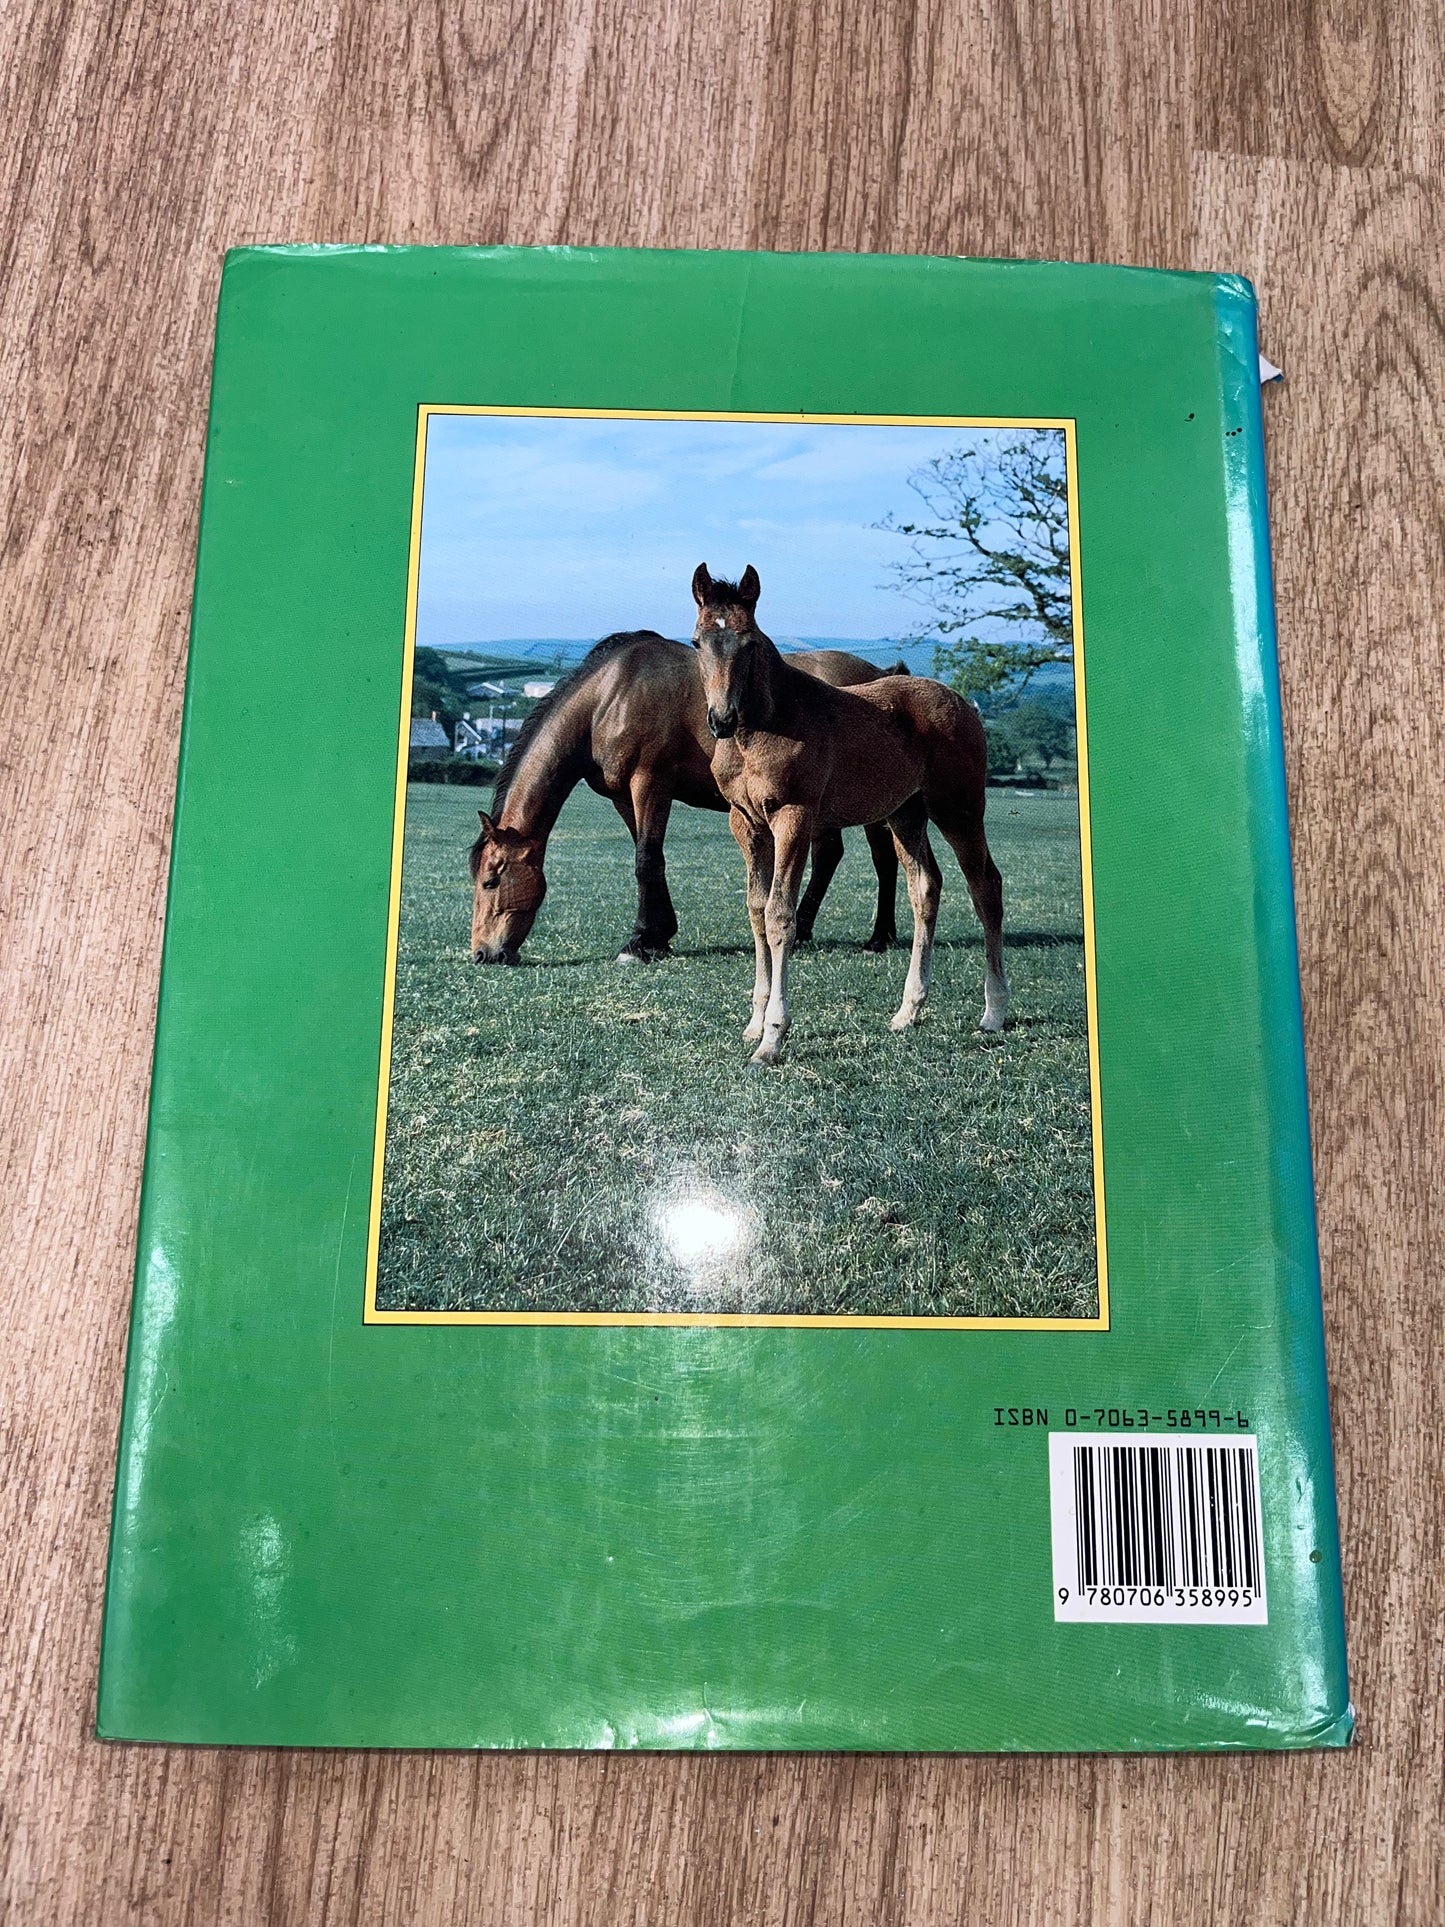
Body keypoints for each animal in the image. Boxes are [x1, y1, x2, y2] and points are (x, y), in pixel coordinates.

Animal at [468, 633, 911, 965]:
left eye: (491, 880)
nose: (483, 954)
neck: (609, 697)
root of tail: (881, 674)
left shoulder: (650, 784)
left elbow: (646, 859)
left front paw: (639, 942)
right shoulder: (624, 796)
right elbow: (648, 855)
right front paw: (658, 935)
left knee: (881, 859)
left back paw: (874, 937)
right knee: (835, 855)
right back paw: (818, 930)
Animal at [690, 563, 1008, 1067]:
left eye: (749, 642)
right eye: (698, 641)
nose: (721, 719)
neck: (763, 725)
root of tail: (965, 703)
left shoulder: (793, 818)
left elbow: (780, 916)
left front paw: (772, 1037)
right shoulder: (746, 824)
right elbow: (756, 909)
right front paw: (755, 1022)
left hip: (958, 808)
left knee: (986, 887)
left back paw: (994, 1011)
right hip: (905, 814)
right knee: (925, 888)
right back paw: (908, 1011)